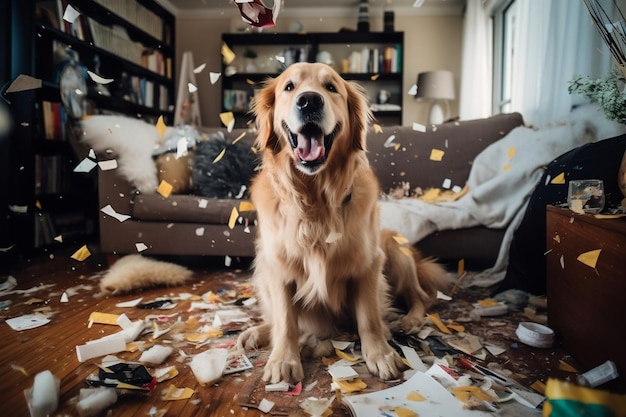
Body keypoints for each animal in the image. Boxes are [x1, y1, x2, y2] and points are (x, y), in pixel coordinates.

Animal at [235, 62, 448, 384]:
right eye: (289, 87)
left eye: (331, 87)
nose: (309, 101)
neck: (315, 202)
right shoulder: (278, 267)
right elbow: (286, 321)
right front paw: (284, 358)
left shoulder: (368, 264)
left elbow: (369, 317)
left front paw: (380, 354)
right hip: (262, 269)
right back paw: (257, 332)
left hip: (394, 250)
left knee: (420, 297)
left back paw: (409, 320)